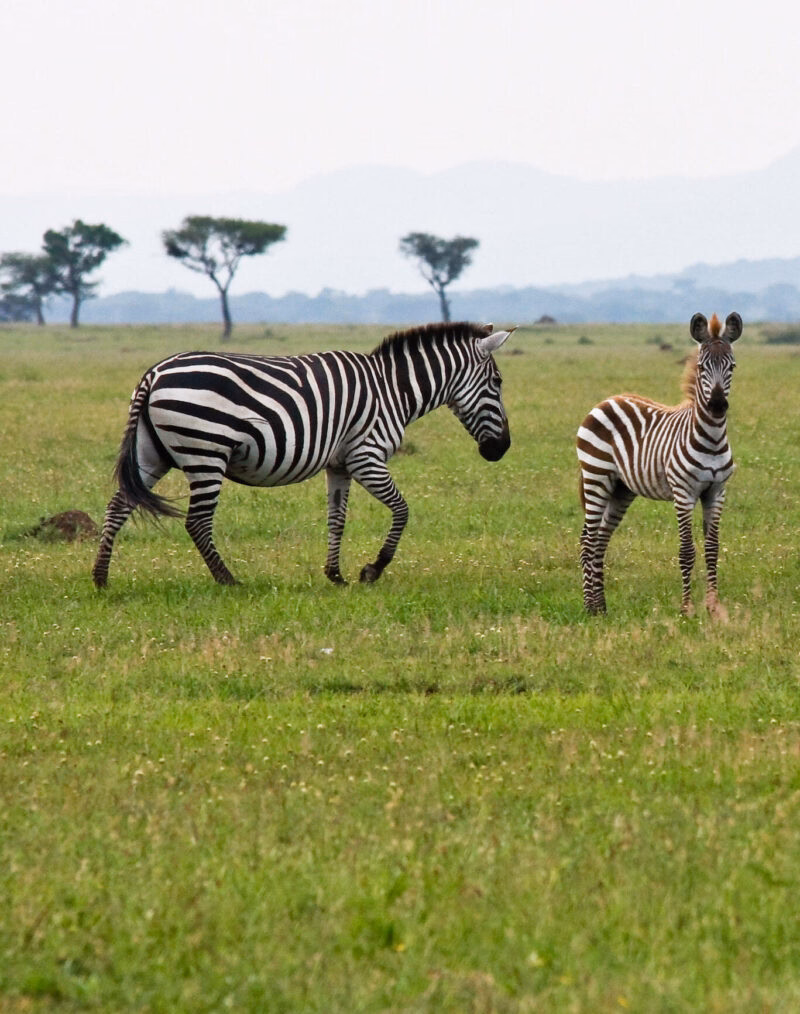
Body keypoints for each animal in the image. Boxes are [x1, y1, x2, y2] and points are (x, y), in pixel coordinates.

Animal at [92, 321, 513, 588]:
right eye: (497, 382)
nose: (501, 449)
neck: (392, 389)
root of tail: (153, 374)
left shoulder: (340, 465)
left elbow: (337, 519)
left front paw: (336, 575)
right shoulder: (366, 456)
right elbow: (402, 510)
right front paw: (373, 570)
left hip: (152, 453)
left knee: (118, 505)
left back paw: (101, 577)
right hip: (205, 454)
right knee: (196, 522)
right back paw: (228, 581)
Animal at [576, 311, 742, 617]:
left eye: (732, 366)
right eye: (701, 367)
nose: (716, 406)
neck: (711, 439)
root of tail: (608, 399)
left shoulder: (717, 492)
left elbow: (712, 549)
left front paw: (713, 608)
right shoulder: (683, 493)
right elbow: (687, 551)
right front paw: (687, 609)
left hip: (621, 489)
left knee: (600, 541)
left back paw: (602, 607)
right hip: (596, 477)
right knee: (588, 542)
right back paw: (590, 608)